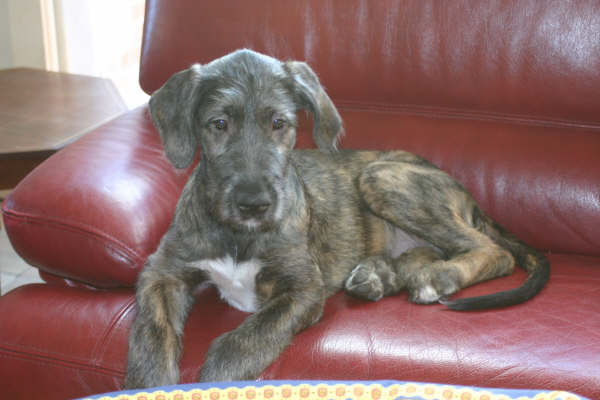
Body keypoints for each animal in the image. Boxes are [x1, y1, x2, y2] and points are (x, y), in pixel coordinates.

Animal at [124, 49, 549, 388]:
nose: (254, 204)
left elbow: (243, 342)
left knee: (493, 252)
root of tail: (471, 199)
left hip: (381, 175)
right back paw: (379, 277)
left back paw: (438, 277)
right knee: (426, 255)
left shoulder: (303, 287)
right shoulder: (161, 271)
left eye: (279, 124)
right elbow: (151, 333)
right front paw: (147, 383)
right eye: (218, 124)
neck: (237, 235)